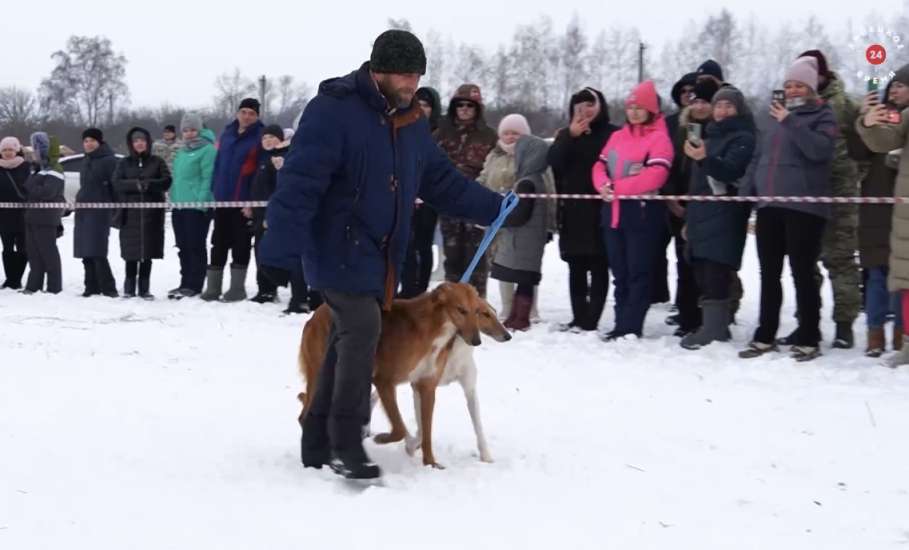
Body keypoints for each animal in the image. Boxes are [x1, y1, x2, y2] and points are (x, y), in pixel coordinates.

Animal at [300, 284, 508, 470]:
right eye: (462, 310)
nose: (477, 340)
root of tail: (316, 313)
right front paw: (390, 440)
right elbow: (403, 428)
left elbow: (428, 429)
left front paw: (430, 463)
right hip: (324, 372)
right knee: (305, 414)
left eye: (477, 311)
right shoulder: (385, 381)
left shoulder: (428, 386)